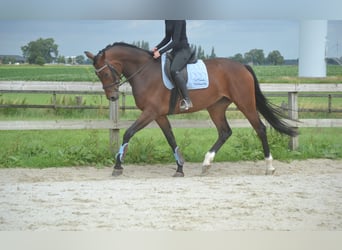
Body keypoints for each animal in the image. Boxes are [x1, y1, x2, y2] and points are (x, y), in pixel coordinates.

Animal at [83, 42, 296, 177]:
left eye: (105, 73)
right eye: (98, 74)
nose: (112, 97)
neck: (145, 71)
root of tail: (243, 66)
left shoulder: (150, 112)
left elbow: (128, 133)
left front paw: (118, 166)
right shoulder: (159, 115)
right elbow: (171, 139)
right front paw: (180, 168)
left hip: (245, 103)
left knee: (260, 128)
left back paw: (269, 167)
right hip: (216, 107)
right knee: (225, 132)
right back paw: (206, 163)